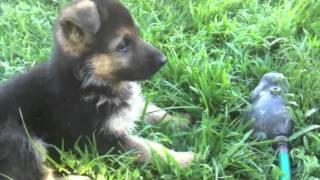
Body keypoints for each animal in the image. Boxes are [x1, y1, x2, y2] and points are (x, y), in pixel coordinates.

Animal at [0, 0, 194, 179]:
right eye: (122, 45)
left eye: (137, 34)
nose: (163, 60)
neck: (90, 82)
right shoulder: (103, 140)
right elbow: (148, 148)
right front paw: (184, 159)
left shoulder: (127, 106)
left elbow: (153, 110)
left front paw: (180, 120)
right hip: (19, 139)